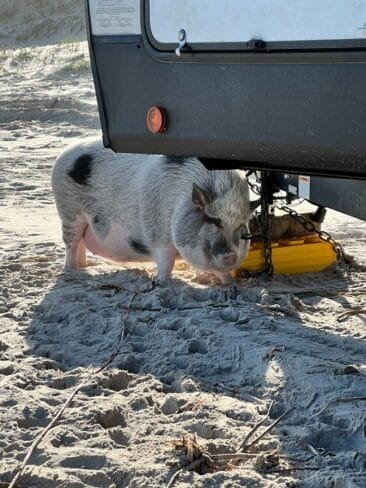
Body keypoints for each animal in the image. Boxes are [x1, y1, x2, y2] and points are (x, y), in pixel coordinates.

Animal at [51, 139, 254, 284]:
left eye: (241, 226)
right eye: (212, 219)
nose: (230, 256)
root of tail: (64, 153)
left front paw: (231, 285)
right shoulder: (160, 238)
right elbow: (166, 264)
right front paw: (160, 283)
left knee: (80, 245)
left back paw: (83, 267)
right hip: (68, 210)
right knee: (71, 243)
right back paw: (72, 271)